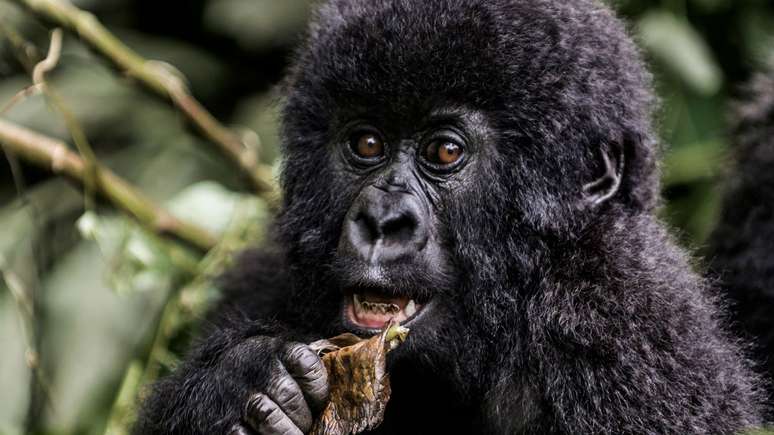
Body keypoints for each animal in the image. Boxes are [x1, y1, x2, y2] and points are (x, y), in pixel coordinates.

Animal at [136, 0, 768, 435]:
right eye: (366, 143)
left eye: (444, 152)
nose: (382, 220)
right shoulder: (263, 278)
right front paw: (234, 385)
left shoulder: (621, 322)